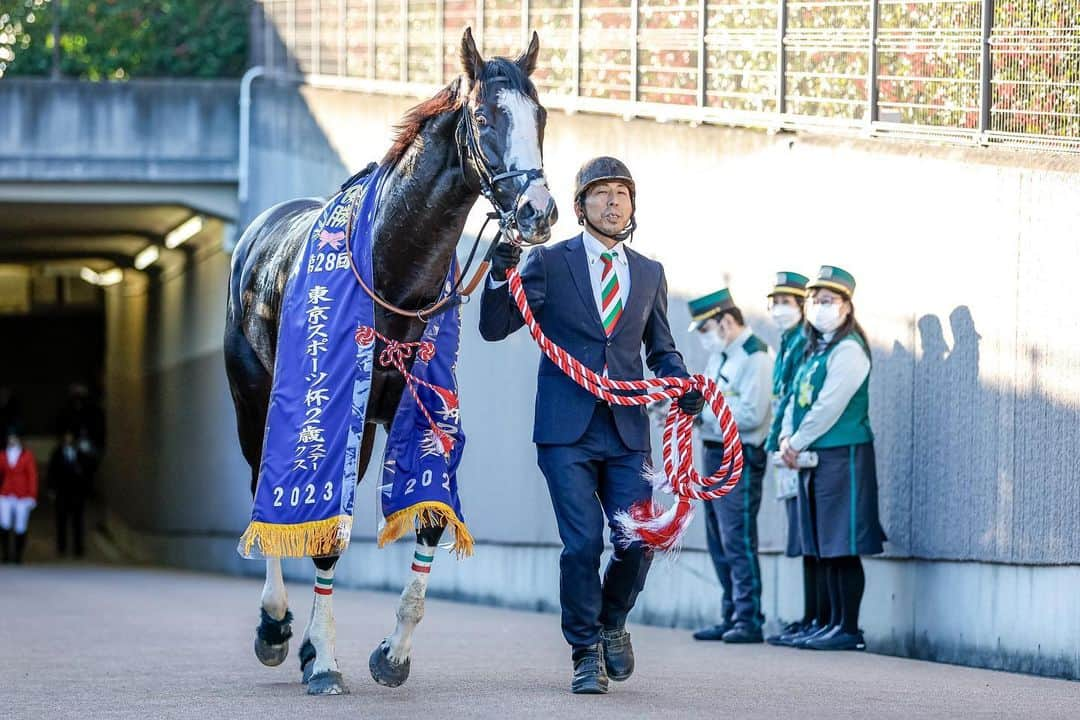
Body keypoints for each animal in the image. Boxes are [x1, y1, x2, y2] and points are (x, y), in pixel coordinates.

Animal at [221, 29, 557, 699]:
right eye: (486, 117)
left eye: (541, 117)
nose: (538, 211)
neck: (392, 270)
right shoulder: (329, 411)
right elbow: (324, 533)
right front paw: (324, 660)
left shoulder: (419, 410)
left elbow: (428, 516)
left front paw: (391, 653)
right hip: (255, 402)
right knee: (262, 489)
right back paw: (275, 625)